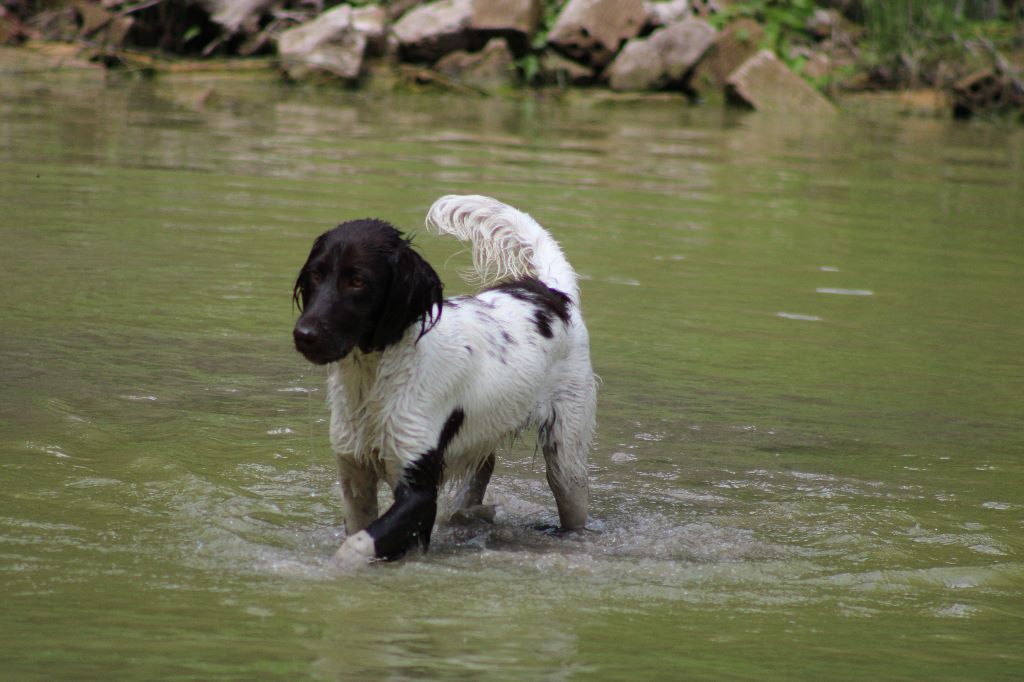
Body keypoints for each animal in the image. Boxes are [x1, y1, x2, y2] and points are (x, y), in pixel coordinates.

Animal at [292, 193, 598, 561]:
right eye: (316, 275)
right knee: (482, 469)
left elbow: (356, 545)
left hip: (567, 462)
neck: (376, 379)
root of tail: (553, 293)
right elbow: (357, 533)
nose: (304, 335)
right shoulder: (354, 473)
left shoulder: (419, 491)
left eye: (357, 281)